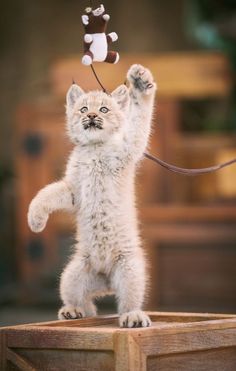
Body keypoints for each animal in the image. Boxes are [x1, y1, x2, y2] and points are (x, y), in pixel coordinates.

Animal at [27, 64, 157, 328]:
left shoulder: (129, 147)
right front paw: (35, 219)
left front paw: (140, 84)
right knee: (87, 304)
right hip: (72, 273)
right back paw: (72, 311)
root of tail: (106, 281)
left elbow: (139, 120)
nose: (91, 117)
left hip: (129, 269)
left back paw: (133, 316)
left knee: (127, 301)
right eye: (84, 109)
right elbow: (45, 192)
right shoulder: (73, 190)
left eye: (104, 109)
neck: (94, 148)